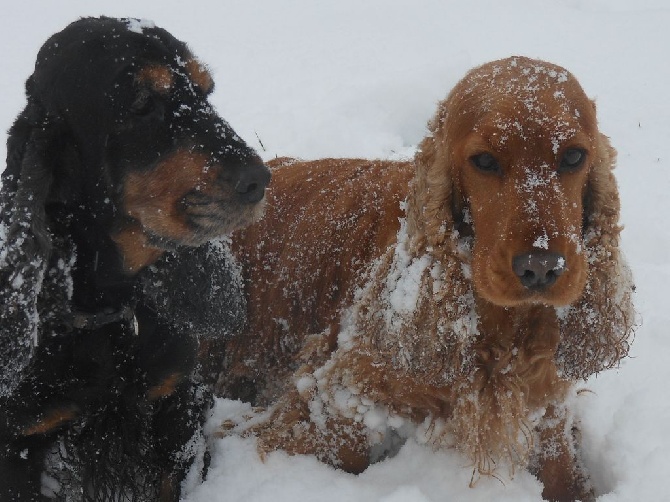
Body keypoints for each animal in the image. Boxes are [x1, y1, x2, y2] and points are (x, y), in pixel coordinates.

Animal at [0, 17, 268, 500]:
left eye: (206, 91)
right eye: (143, 103)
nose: (260, 180)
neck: (112, 313)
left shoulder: (177, 413)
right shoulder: (19, 442)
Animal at [219, 56, 636, 500]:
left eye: (573, 157)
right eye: (484, 161)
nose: (540, 267)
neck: (503, 332)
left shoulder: (548, 404)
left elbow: (563, 471)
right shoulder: (343, 381)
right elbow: (338, 441)